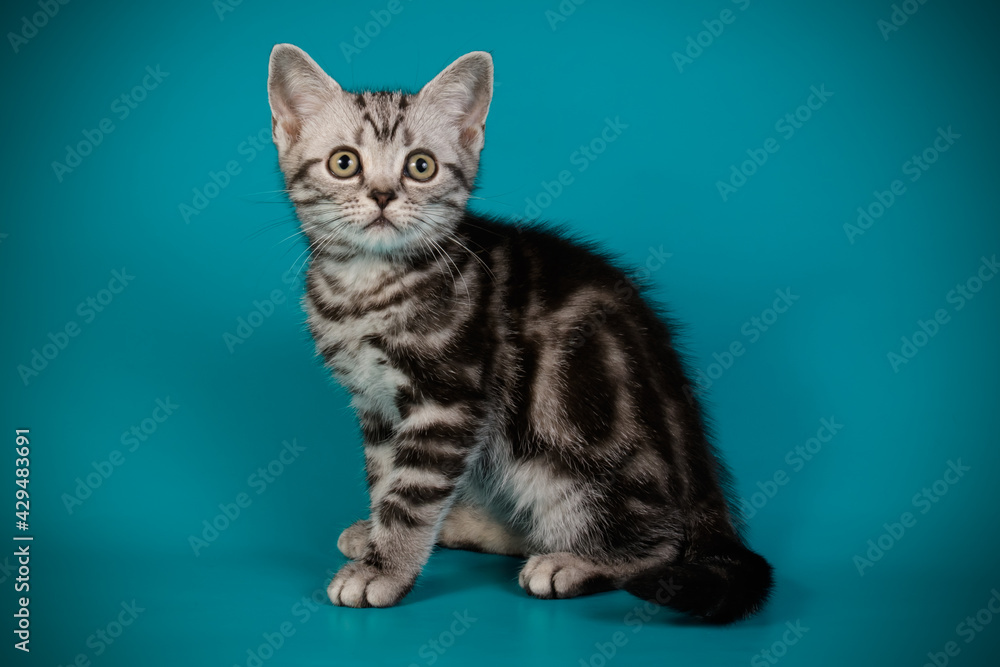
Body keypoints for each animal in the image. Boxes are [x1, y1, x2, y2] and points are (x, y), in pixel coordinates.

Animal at [266, 44, 772, 624]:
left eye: (421, 166)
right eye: (344, 163)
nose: (382, 195)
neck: (367, 286)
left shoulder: (448, 401)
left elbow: (411, 494)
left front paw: (383, 569)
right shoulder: (376, 406)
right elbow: (386, 479)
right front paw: (379, 537)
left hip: (568, 467)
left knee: (663, 545)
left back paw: (575, 562)